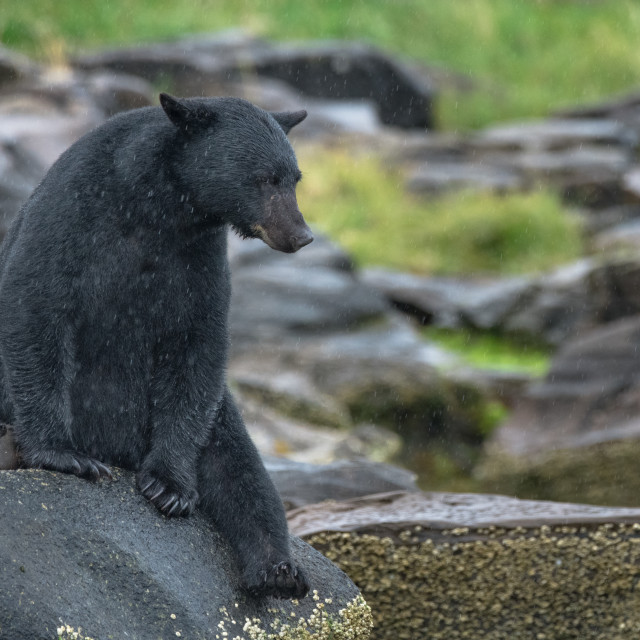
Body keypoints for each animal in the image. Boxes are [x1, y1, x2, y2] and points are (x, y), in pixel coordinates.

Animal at [0, 94, 312, 600]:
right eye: (266, 177)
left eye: (294, 177)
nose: (302, 235)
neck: (161, 209)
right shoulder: (71, 217)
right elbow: (36, 307)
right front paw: (64, 454)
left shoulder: (198, 259)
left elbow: (198, 347)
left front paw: (170, 486)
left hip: (215, 418)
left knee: (240, 466)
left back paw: (277, 569)